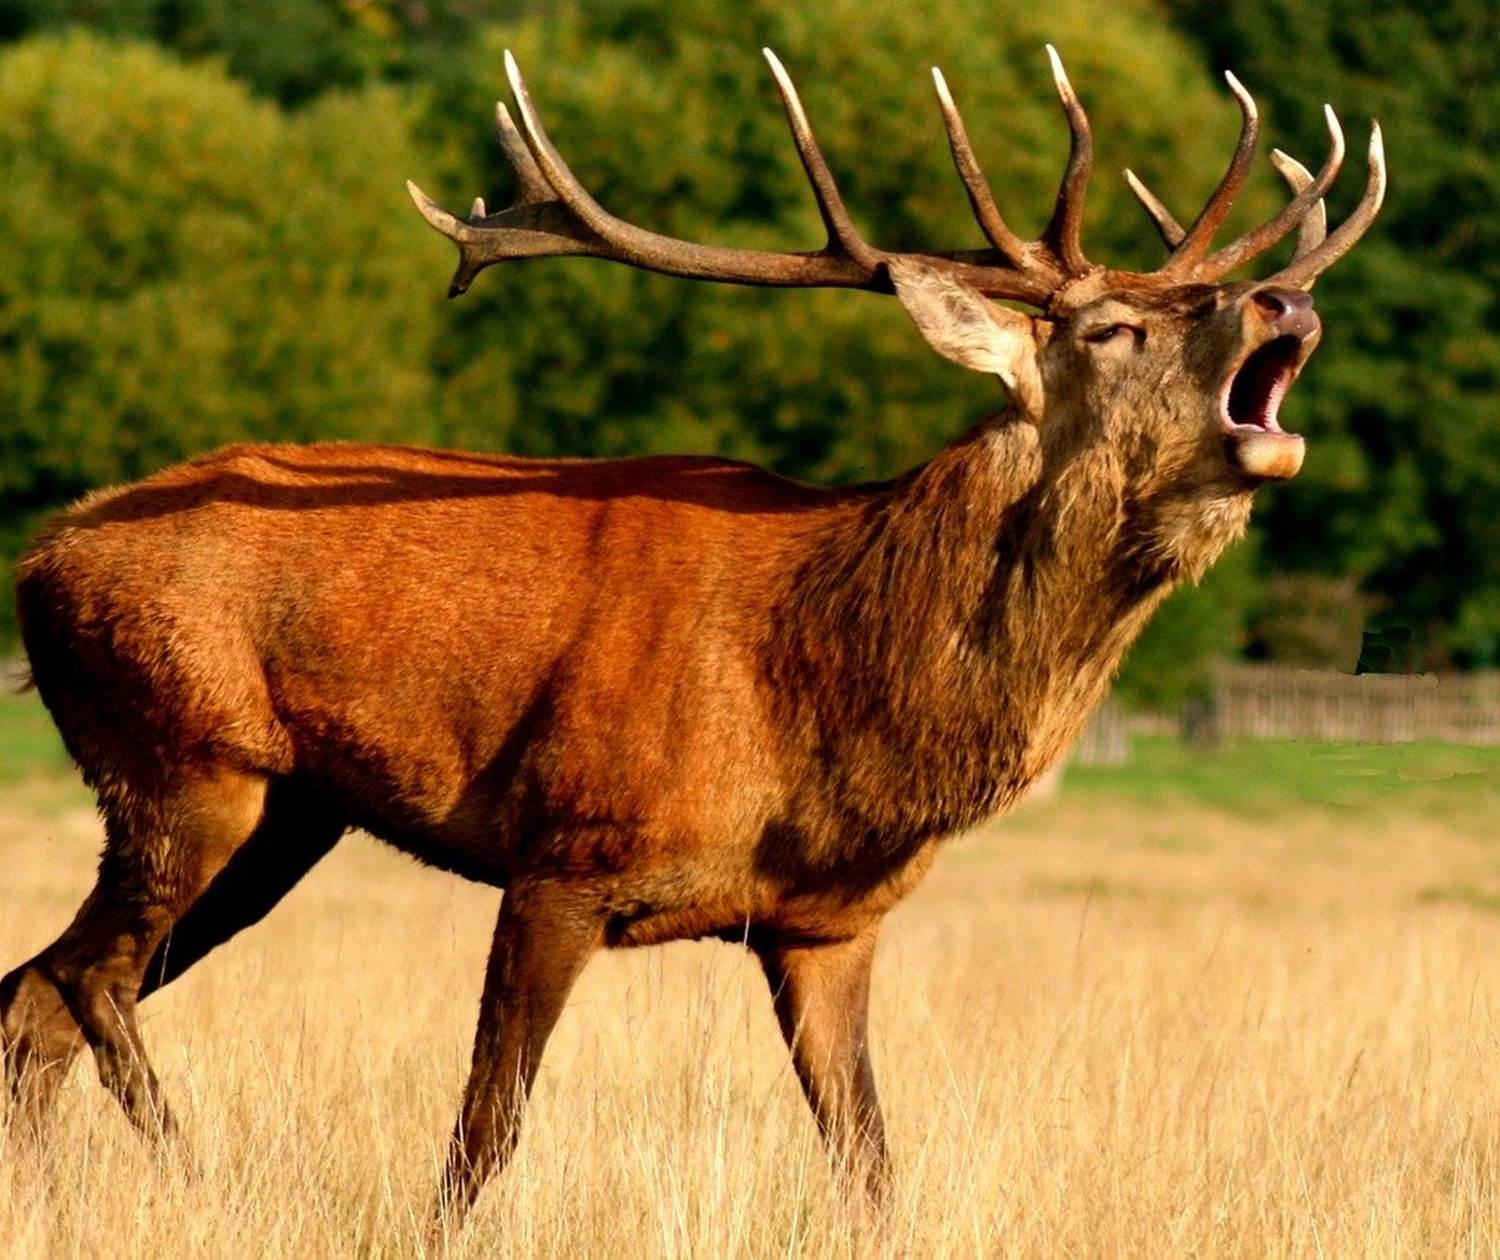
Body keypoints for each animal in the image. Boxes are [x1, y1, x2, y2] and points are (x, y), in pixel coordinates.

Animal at [2, 41, 1382, 1229]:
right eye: (1110, 328)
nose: (1284, 298)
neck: (827, 702)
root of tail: (37, 561)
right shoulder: (565, 848)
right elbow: (485, 1134)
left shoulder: (829, 924)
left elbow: (870, 1162)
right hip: (182, 756)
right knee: (84, 978)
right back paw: (195, 1171)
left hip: (287, 814)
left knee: (31, 993)